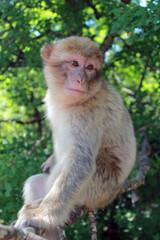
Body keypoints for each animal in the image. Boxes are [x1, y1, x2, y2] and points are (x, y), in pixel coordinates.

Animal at [14, 36, 136, 239]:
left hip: (99, 189)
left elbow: (81, 161)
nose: (80, 79)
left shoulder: (88, 111)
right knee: (35, 182)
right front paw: (51, 159)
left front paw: (42, 217)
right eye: (74, 63)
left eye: (89, 67)